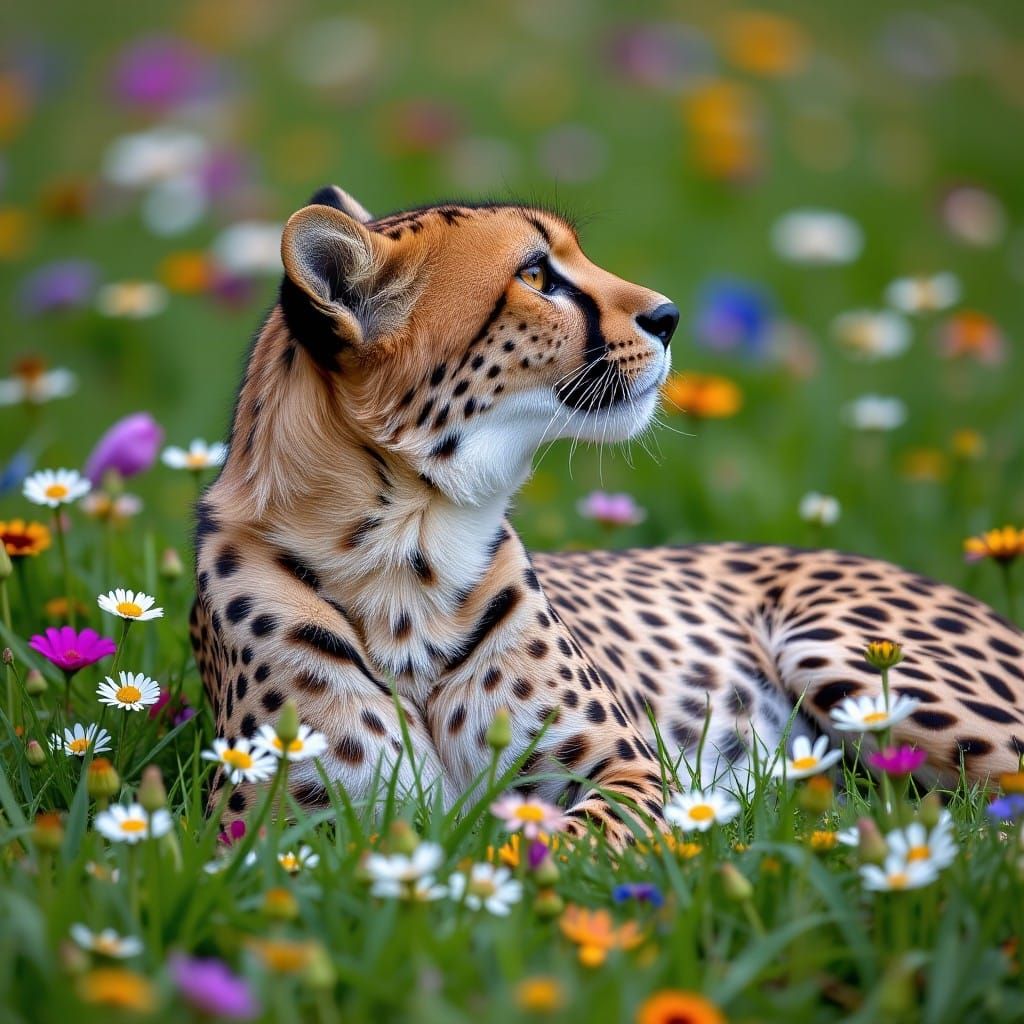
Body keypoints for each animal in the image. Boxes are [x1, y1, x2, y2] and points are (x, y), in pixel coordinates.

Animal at [191, 184, 1024, 846]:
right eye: (535, 274)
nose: (670, 315)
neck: (407, 545)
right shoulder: (270, 833)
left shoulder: (636, 772)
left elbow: (564, 839)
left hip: (844, 652)